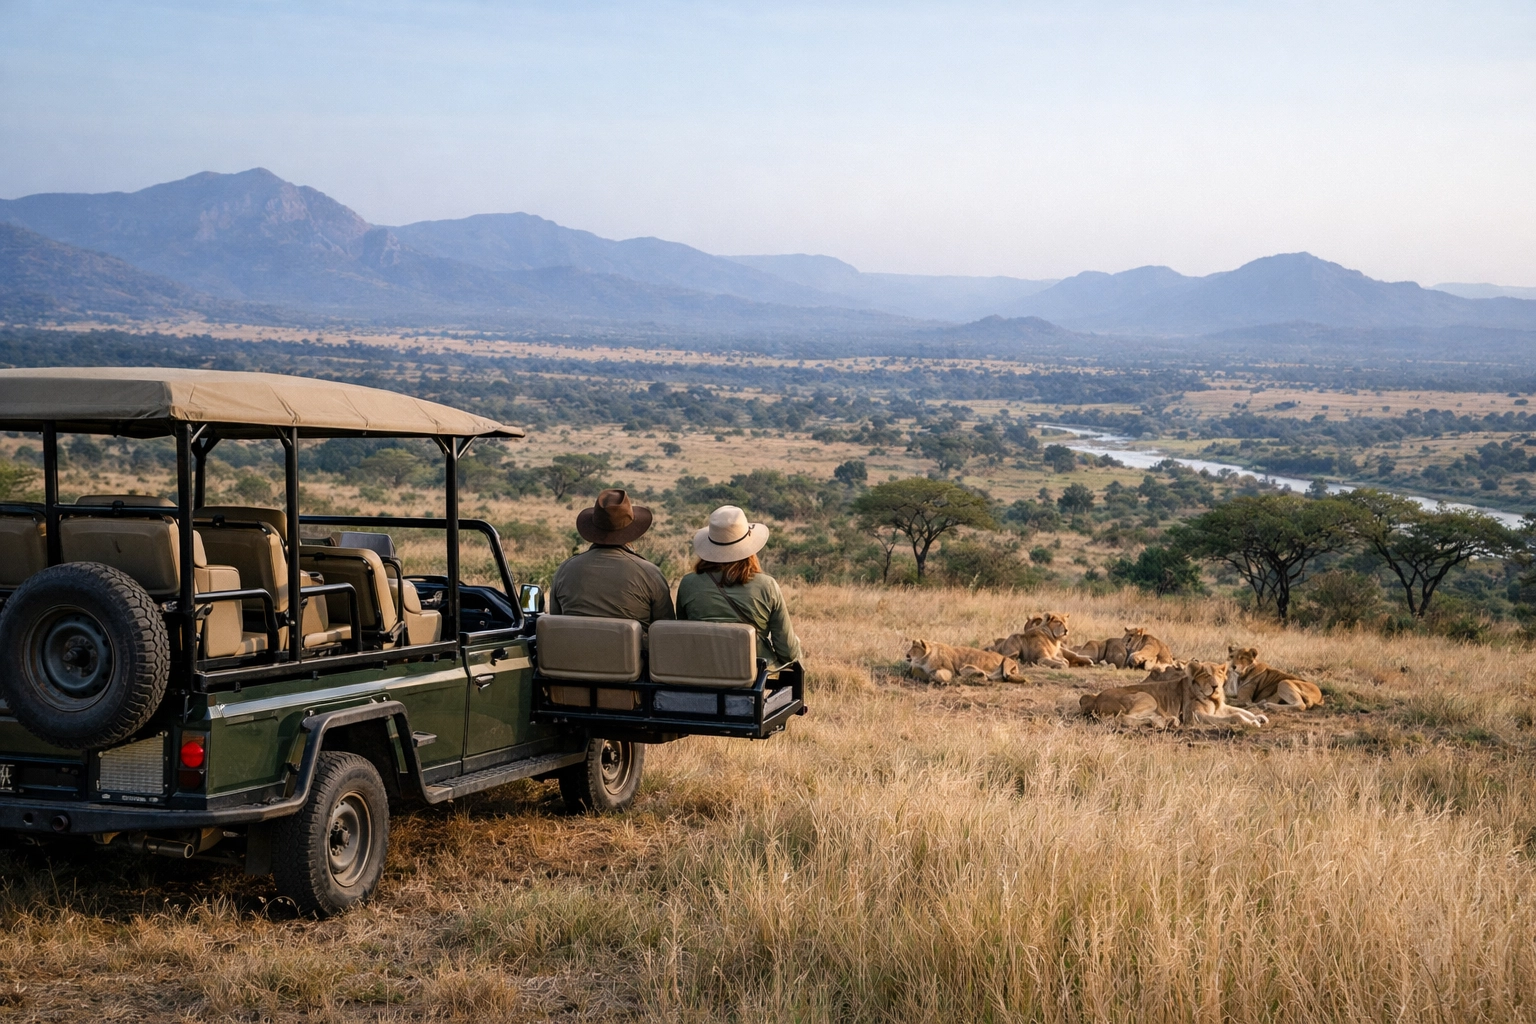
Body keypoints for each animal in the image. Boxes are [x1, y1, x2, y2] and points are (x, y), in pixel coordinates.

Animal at [1080, 660, 1267, 729]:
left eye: (1220, 674)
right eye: (1207, 675)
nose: (1215, 686)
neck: (1213, 698)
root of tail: (1096, 697)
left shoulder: (1220, 708)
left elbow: (1242, 710)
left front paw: (1259, 717)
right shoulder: (1194, 716)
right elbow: (1235, 716)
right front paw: (1252, 723)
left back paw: (1168, 721)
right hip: (1148, 698)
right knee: (1122, 718)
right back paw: (1162, 723)